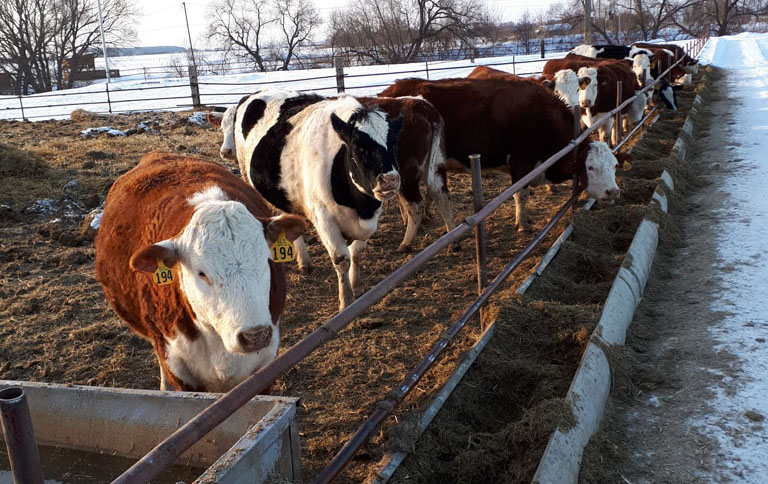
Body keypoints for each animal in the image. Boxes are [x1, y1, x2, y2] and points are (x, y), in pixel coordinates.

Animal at [210, 89, 402, 310]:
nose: (390, 179)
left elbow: (356, 254)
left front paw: (357, 287)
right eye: (358, 147)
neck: (360, 207)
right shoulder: (323, 217)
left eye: (393, 144)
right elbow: (341, 259)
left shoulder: (370, 219)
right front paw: (346, 301)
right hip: (244, 172)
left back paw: (303, 260)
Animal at [378, 76, 624, 232]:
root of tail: (388, 91)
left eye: (614, 166)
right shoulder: (520, 163)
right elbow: (520, 194)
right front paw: (522, 224)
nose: (613, 191)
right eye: (590, 167)